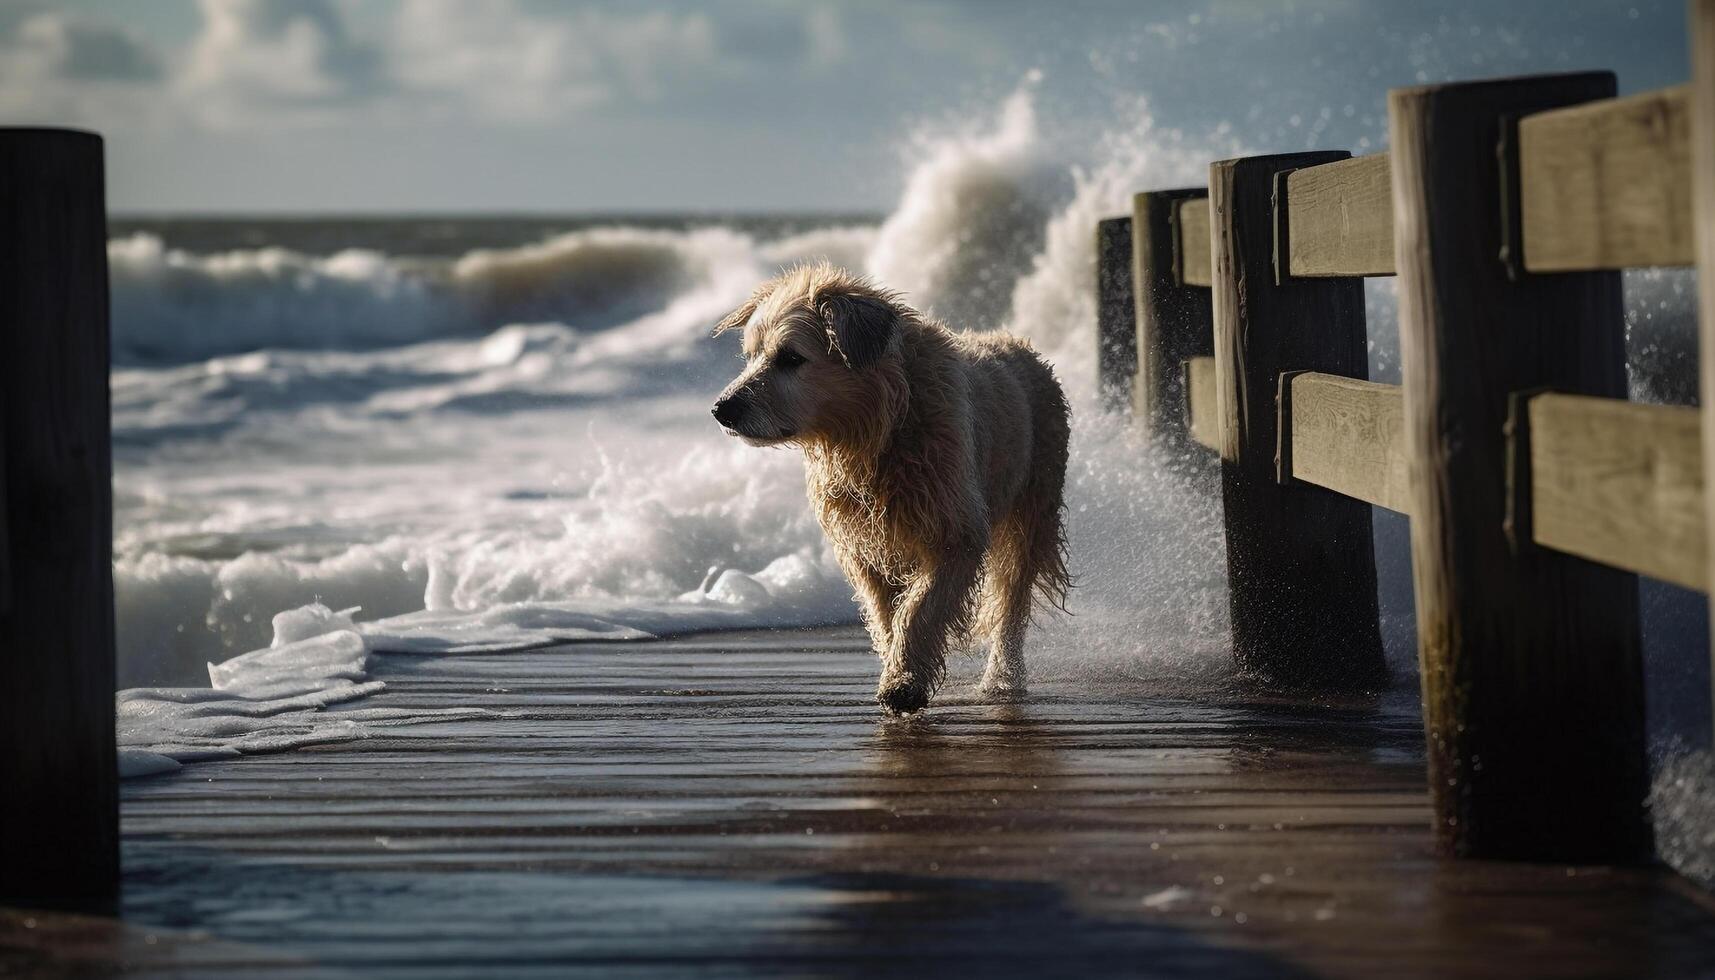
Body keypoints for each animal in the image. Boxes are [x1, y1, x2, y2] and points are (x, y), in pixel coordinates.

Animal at [713, 264, 1070, 717]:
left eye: (790, 357)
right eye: (751, 355)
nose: (722, 408)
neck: (876, 432)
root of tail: (1020, 345)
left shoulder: (953, 526)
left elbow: (920, 609)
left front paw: (904, 683)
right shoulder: (863, 542)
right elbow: (885, 610)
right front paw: (896, 665)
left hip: (1034, 497)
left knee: (1012, 593)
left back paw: (1003, 676)